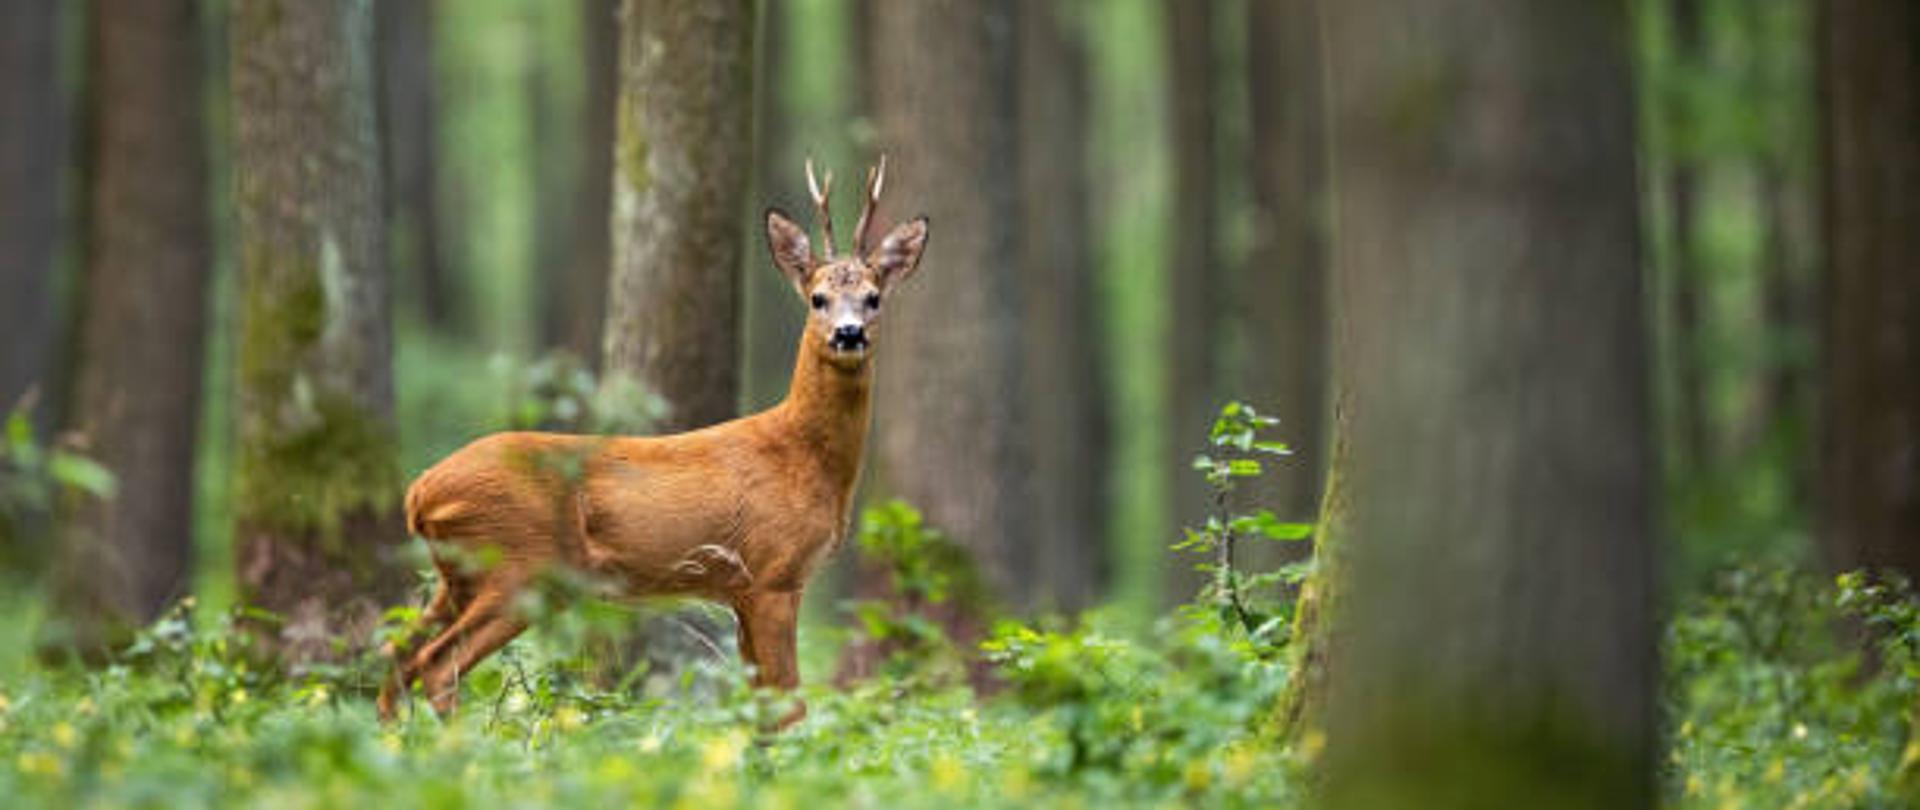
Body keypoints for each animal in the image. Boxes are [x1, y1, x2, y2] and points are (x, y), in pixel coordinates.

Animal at [376, 158, 928, 726]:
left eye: (873, 298)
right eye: (818, 298)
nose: (849, 333)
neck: (803, 456)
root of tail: (419, 492)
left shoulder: (739, 589)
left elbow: (762, 710)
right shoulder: (773, 573)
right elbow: (790, 705)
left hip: (459, 576)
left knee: (395, 655)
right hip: (518, 565)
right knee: (436, 663)